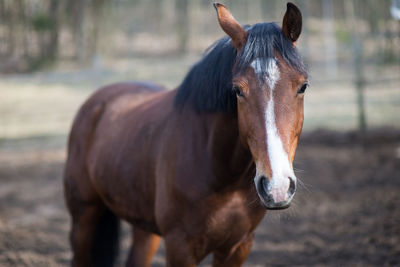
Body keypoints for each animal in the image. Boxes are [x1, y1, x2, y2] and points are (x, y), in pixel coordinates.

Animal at [65, 2, 310, 267]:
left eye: (303, 86)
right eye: (237, 90)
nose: (277, 187)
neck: (223, 177)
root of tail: (97, 100)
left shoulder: (238, 246)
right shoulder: (180, 247)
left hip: (144, 227)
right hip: (84, 217)